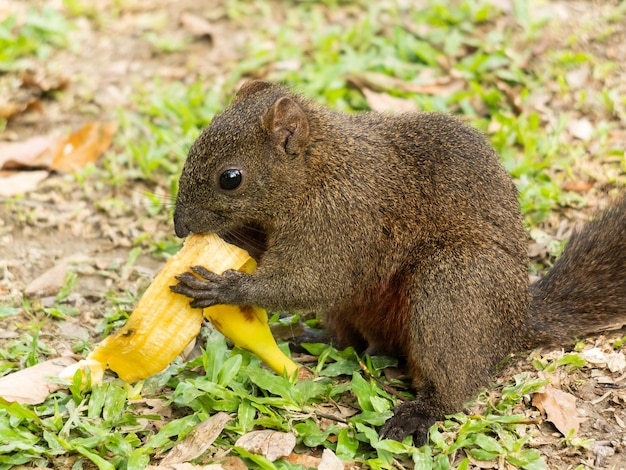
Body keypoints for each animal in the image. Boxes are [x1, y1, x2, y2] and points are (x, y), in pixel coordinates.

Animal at [171, 79, 624, 442]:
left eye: (231, 178)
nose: (178, 226)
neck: (320, 168)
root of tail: (515, 324)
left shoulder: (342, 217)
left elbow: (311, 280)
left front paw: (223, 286)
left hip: (453, 283)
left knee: (451, 380)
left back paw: (420, 413)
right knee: (353, 340)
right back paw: (312, 336)